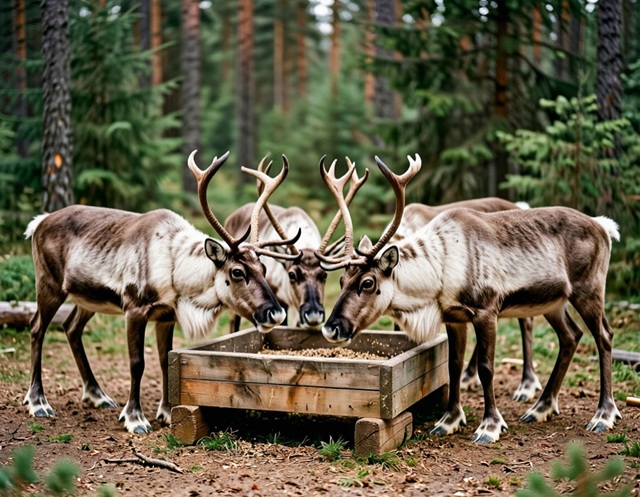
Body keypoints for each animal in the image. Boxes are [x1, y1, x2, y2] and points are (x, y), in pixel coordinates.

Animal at [23, 151, 301, 434]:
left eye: (263, 267)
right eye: (237, 272)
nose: (276, 313)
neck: (177, 272)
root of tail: (39, 222)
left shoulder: (166, 316)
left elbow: (164, 360)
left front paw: (167, 412)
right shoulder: (135, 309)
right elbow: (137, 363)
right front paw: (135, 418)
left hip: (88, 299)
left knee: (71, 328)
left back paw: (97, 395)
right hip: (49, 284)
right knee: (36, 328)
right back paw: (38, 402)